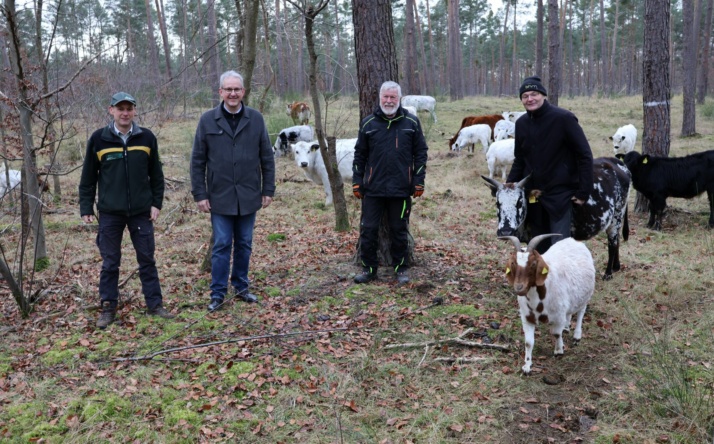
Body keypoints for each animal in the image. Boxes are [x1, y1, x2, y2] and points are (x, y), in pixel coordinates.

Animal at [478, 157, 628, 280]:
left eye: (519, 203)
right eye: (498, 203)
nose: (505, 232)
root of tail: (617, 163)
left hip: (616, 217)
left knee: (612, 243)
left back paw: (608, 273)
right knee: (617, 241)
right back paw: (616, 266)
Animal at [500, 236, 596, 374]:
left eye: (533, 264)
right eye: (513, 263)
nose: (519, 288)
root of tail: (573, 240)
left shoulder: (558, 315)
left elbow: (556, 334)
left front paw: (559, 350)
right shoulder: (527, 317)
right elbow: (528, 342)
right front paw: (527, 366)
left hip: (585, 294)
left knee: (581, 312)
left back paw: (577, 336)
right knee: (569, 313)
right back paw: (566, 327)